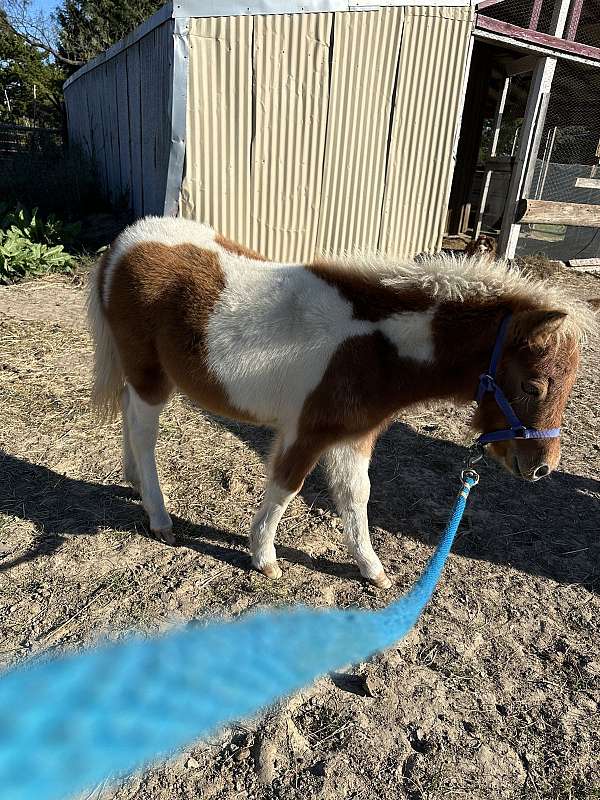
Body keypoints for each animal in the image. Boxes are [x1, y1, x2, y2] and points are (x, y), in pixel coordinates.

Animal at [87, 217, 596, 589]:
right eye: (534, 386)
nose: (541, 467)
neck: (377, 348)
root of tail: (123, 243)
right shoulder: (307, 431)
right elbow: (287, 487)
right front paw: (264, 558)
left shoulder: (355, 435)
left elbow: (356, 496)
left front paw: (372, 570)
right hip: (152, 377)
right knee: (144, 432)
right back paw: (158, 515)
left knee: (129, 416)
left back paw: (134, 482)